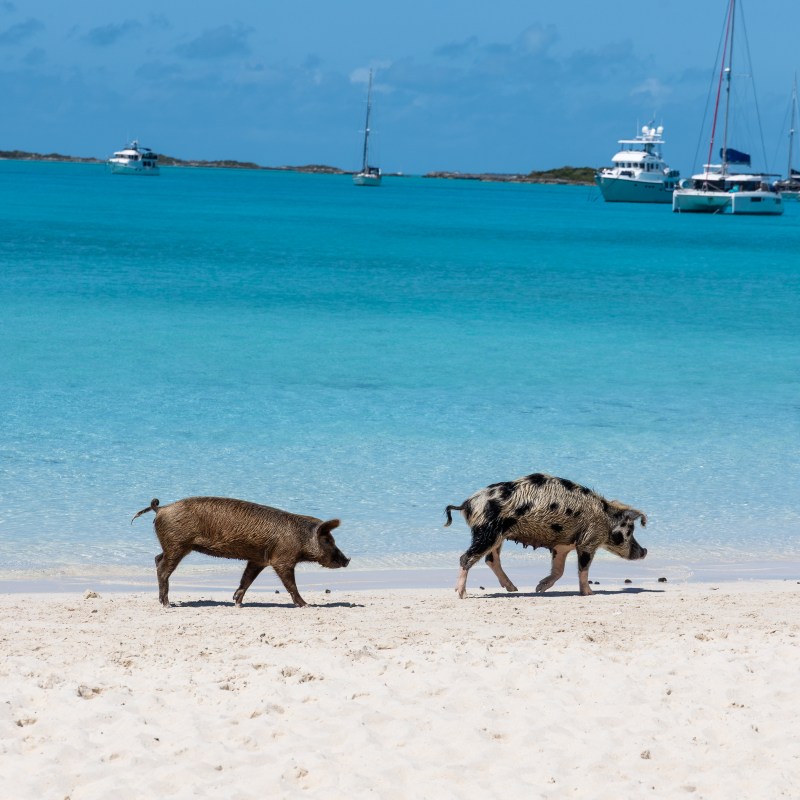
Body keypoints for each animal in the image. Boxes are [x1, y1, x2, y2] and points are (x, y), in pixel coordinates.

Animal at [131, 496, 350, 607]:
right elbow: (290, 585)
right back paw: (168, 605)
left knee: (157, 559)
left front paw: (237, 602)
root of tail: (161, 509)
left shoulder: (258, 559)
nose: (347, 560)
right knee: (163, 568)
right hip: (177, 545)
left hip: (172, 546)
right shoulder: (282, 559)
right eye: (328, 540)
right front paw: (307, 605)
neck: (301, 538)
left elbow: (247, 579)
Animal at [445, 472, 647, 597]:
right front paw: (590, 594)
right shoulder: (587, 541)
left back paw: (513, 589)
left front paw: (539, 588)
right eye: (630, 530)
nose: (644, 551)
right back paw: (461, 594)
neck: (605, 518)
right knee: (466, 558)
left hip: (496, 536)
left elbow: (559, 570)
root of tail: (468, 504)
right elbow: (583, 569)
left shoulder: (562, 546)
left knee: (491, 560)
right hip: (487, 533)